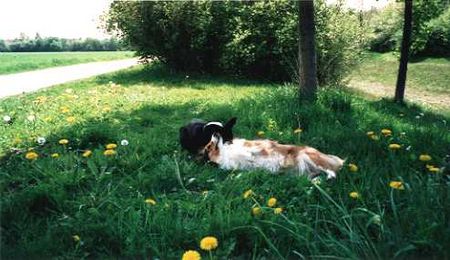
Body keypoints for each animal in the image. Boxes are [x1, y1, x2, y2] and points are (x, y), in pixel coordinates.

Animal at [204, 133, 344, 180]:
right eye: (209, 145)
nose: (215, 132)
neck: (224, 152)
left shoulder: (257, 145)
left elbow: (253, 150)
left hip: (307, 156)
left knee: (332, 169)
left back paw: (330, 177)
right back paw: (316, 181)